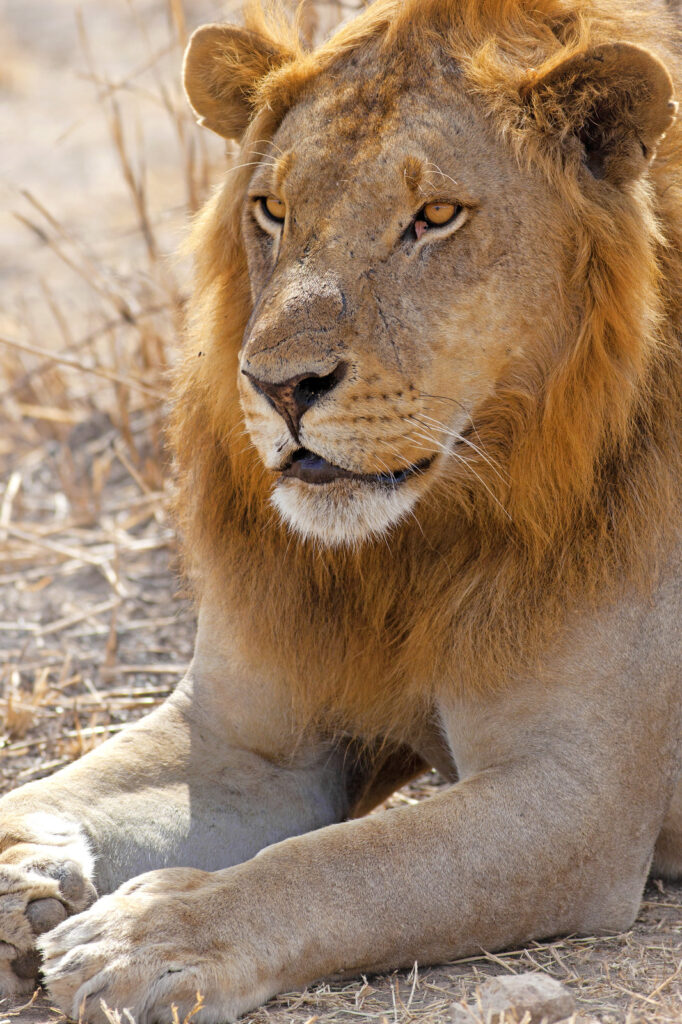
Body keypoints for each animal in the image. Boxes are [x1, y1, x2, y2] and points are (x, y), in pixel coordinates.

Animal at [0, 0, 680, 1021]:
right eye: (272, 210)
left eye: (434, 217)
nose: (280, 387)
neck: (414, 546)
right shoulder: (245, 742)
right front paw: (22, 871)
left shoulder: (578, 799)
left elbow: (346, 866)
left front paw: (153, 934)